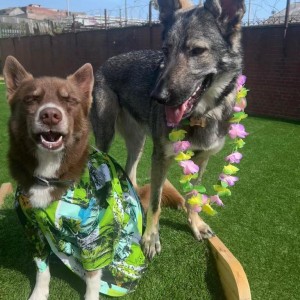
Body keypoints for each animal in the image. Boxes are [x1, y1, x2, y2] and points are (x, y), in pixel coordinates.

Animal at [3, 55, 146, 298]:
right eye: (31, 98)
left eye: (69, 100)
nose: (50, 115)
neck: (49, 174)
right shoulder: (32, 228)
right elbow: (41, 268)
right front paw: (39, 293)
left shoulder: (94, 234)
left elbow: (93, 275)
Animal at [91, 0, 246, 258]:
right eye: (165, 50)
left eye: (197, 51)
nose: (157, 97)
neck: (200, 116)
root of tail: (104, 64)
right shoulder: (160, 157)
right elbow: (155, 202)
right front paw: (150, 238)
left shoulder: (202, 159)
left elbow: (194, 196)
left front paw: (196, 224)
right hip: (106, 135)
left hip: (138, 142)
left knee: (130, 170)